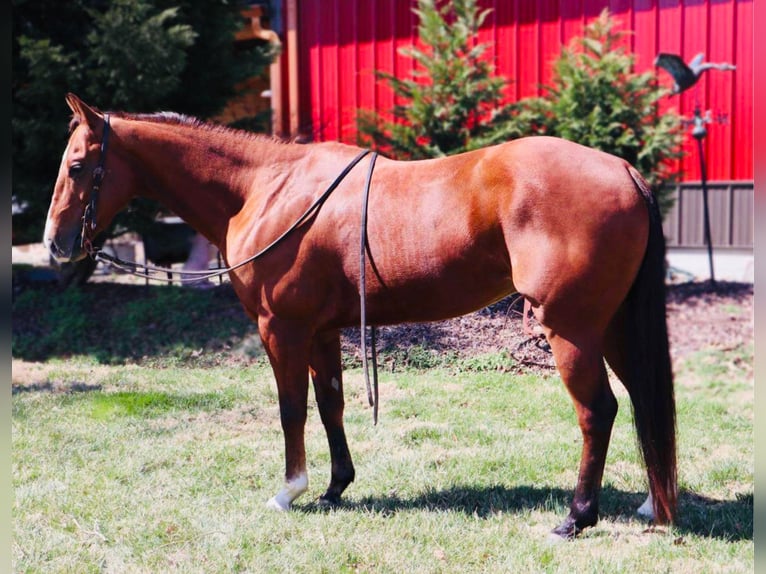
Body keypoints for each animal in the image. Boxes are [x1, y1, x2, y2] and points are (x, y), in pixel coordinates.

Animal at [45, 93, 680, 540]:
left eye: (77, 166)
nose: (54, 244)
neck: (265, 188)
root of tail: (623, 170)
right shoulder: (323, 332)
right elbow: (330, 405)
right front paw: (333, 488)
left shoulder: (282, 330)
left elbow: (291, 410)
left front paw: (290, 491)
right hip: (612, 328)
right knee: (643, 400)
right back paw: (651, 503)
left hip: (571, 331)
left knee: (598, 412)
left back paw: (577, 517)